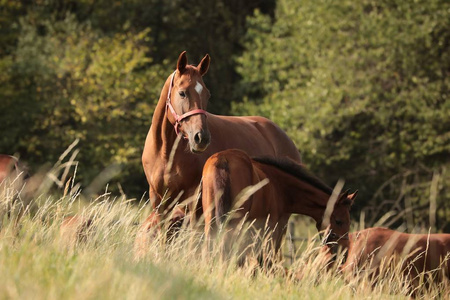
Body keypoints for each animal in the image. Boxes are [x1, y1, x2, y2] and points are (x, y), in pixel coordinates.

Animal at [138, 51, 298, 248]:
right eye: (182, 93)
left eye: (207, 95)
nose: (201, 138)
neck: (166, 153)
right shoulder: (159, 200)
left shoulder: (194, 201)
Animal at [202, 149, 356, 266]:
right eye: (338, 221)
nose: (344, 253)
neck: (280, 186)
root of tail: (223, 160)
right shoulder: (273, 227)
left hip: (211, 222)